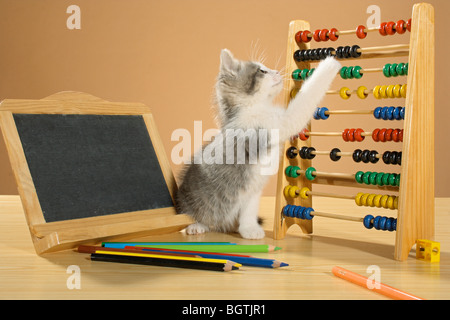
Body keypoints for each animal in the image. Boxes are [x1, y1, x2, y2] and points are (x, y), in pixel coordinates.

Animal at [176, 48, 342, 239]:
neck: (249, 108)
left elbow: (249, 210)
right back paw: (196, 225)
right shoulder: (274, 124)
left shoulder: (252, 191)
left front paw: (249, 229)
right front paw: (329, 63)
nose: (276, 72)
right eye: (262, 71)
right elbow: (304, 100)